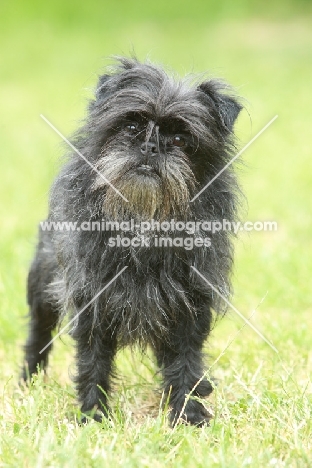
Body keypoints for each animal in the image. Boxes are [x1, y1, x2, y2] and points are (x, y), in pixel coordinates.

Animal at [22, 56, 241, 426]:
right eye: (130, 126)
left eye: (180, 139)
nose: (151, 146)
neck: (142, 218)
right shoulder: (91, 299)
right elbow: (92, 360)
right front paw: (93, 415)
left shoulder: (189, 304)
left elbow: (186, 359)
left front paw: (188, 413)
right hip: (42, 282)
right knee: (38, 331)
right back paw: (28, 380)